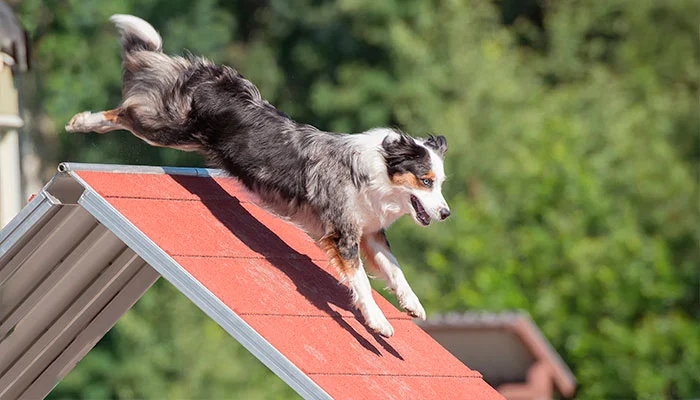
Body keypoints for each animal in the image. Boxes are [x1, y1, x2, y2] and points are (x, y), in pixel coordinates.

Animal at [65, 14, 448, 338]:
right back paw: (81, 121)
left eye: (441, 183)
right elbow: (363, 284)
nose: (445, 213)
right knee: (124, 111)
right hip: (167, 128)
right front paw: (379, 322)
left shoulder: (369, 233)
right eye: (426, 181)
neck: (376, 173)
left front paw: (412, 305)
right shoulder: (343, 234)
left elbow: (396, 270)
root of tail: (212, 75)